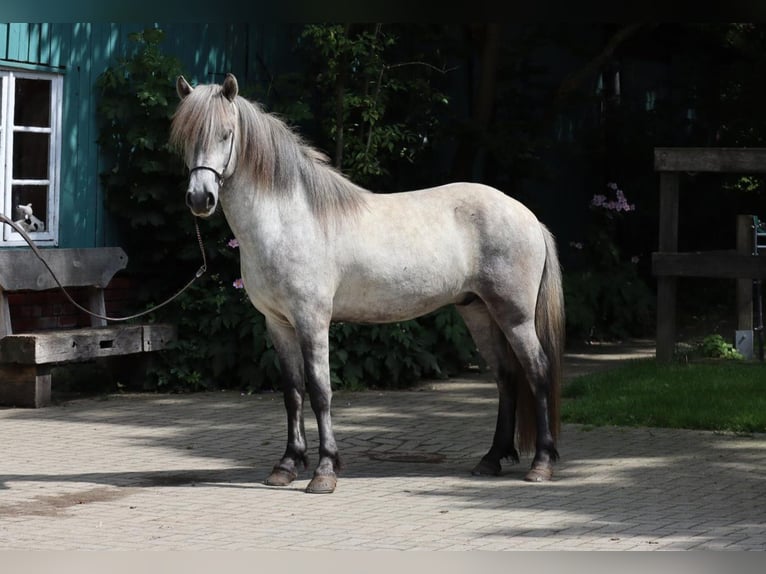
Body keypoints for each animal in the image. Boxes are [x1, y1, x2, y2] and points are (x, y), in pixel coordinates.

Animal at [170, 73, 565, 494]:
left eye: (226, 134)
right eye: (187, 136)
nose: (200, 198)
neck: (288, 221)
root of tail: (527, 216)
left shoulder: (312, 321)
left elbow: (320, 391)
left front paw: (324, 471)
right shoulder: (277, 324)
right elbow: (292, 392)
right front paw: (287, 466)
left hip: (515, 316)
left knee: (538, 371)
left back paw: (541, 464)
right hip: (478, 312)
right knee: (506, 377)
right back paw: (490, 460)